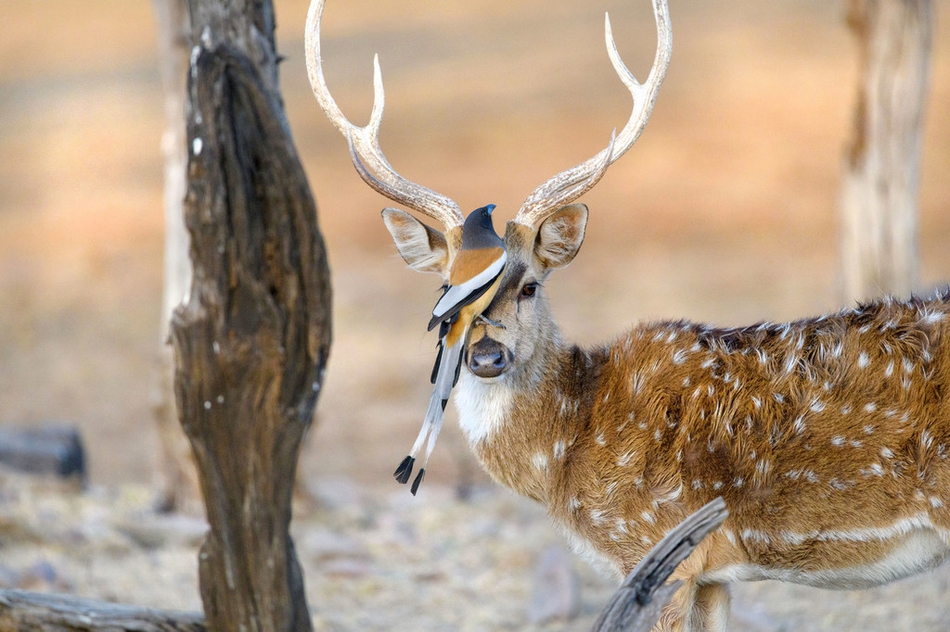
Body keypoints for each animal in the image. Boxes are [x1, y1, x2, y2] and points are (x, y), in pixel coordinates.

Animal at [306, 1, 950, 632]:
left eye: (530, 285)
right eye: (447, 290)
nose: (487, 355)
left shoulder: (660, 546)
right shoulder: (713, 573)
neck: (568, 451)